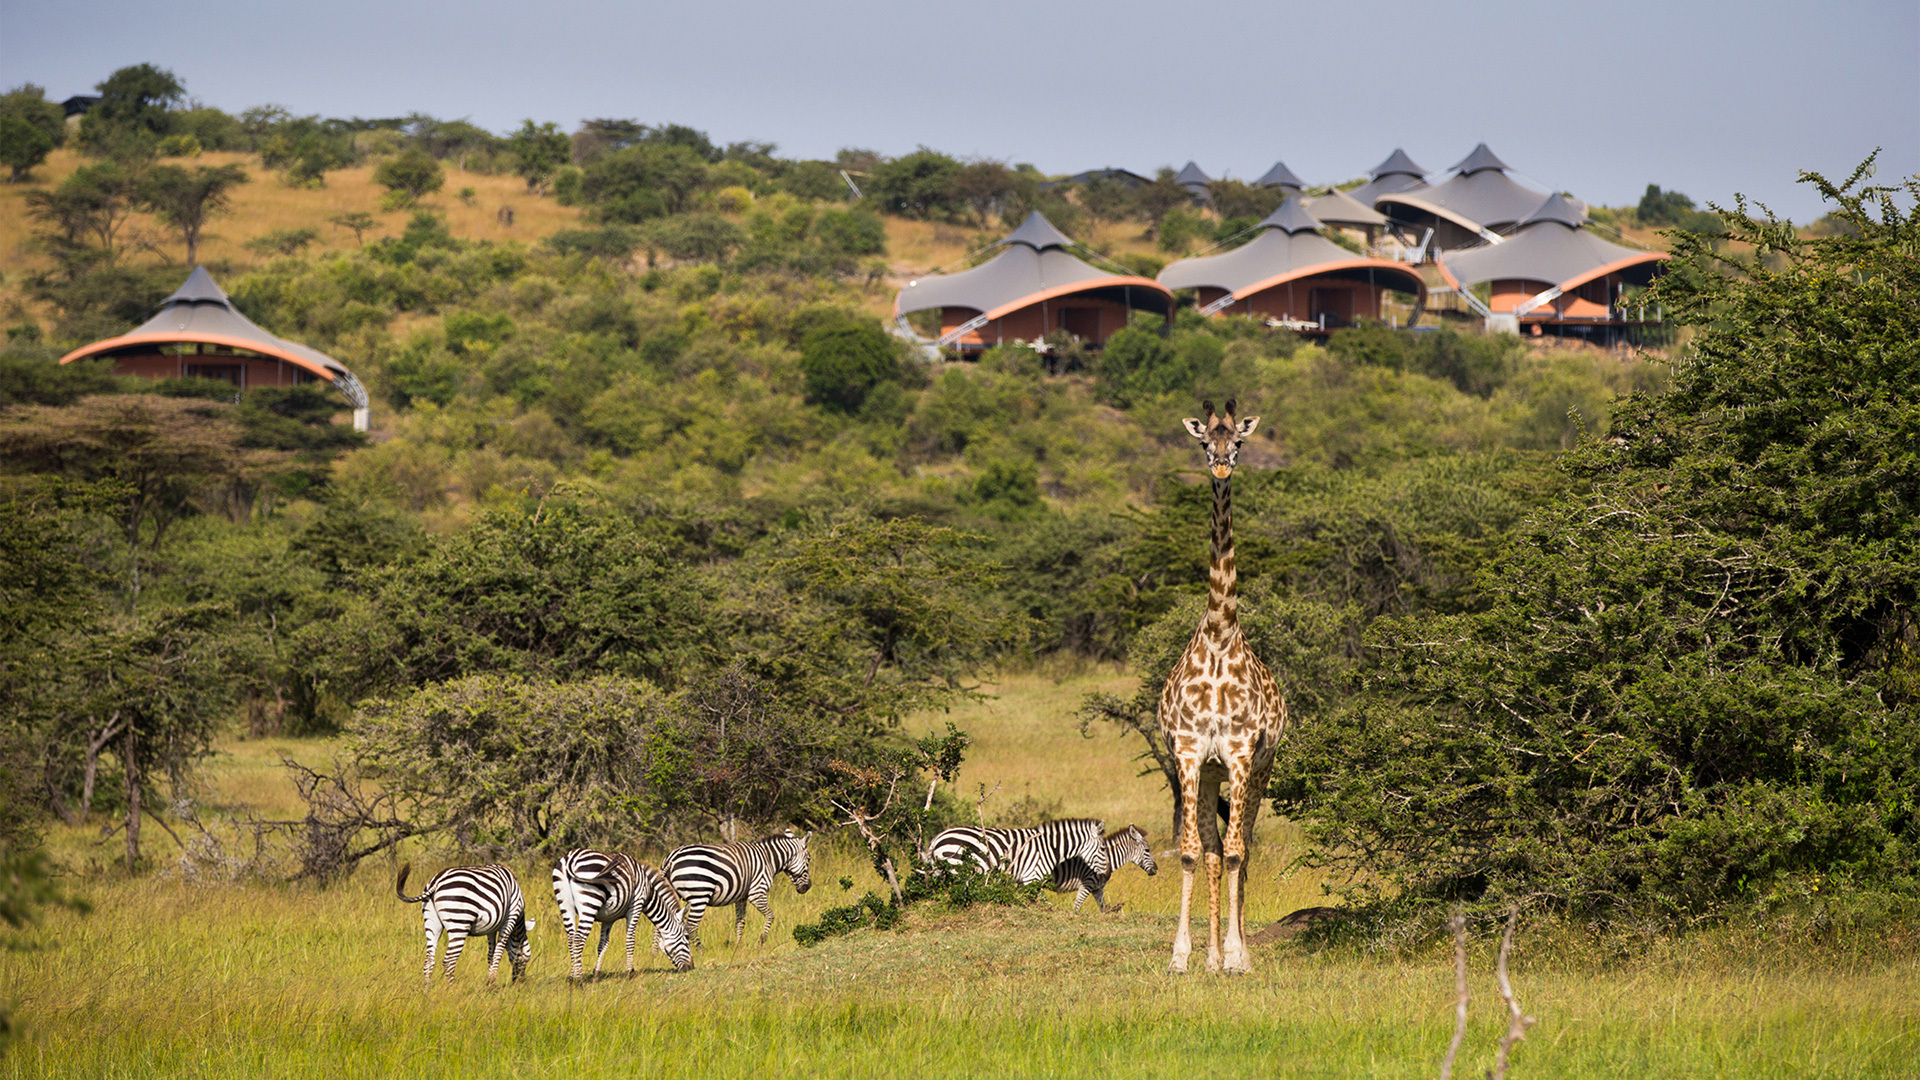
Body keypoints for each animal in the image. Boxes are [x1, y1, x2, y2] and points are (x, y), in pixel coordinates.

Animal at [395, 862, 534, 987]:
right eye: (526, 959)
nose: (519, 984)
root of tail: (437, 881)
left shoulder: (492, 928)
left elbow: (491, 954)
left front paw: (489, 983)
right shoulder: (510, 917)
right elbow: (498, 953)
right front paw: (492, 984)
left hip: (431, 921)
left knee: (429, 960)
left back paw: (427, 991)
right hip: (459, 922)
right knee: (449, 961)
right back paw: (453, 990)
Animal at [551, 849, 692, 977]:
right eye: (686, 936)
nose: (691, 967)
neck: (648, 892)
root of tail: (571, 858)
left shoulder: (608, 917)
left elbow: (603, 944)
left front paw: (596, 972)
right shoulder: (636, 905)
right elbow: (630, 939)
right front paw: (630, 971)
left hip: (565, 904)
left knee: (571, 939)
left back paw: (572, 976)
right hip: (590, 901)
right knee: (579, 938)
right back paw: (578, 979)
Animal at [664, 831, 811, 946]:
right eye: (809, 859)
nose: (808, 887)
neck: (769, 859)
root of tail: (672, 857)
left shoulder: (741, 897)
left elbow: (740, 922)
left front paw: (738, 946)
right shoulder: (757, 892)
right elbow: (770, 915)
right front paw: (761, 940)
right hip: (699, 895)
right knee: (691, 926)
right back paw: (700, 950)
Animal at [926, 818, 1109, 886]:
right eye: (1102, 849)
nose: (1107, 875)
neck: (1050, 847)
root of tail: (936, 839)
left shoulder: (1023, 880)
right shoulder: (1033, 876)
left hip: (939, 871)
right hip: (956, 867)